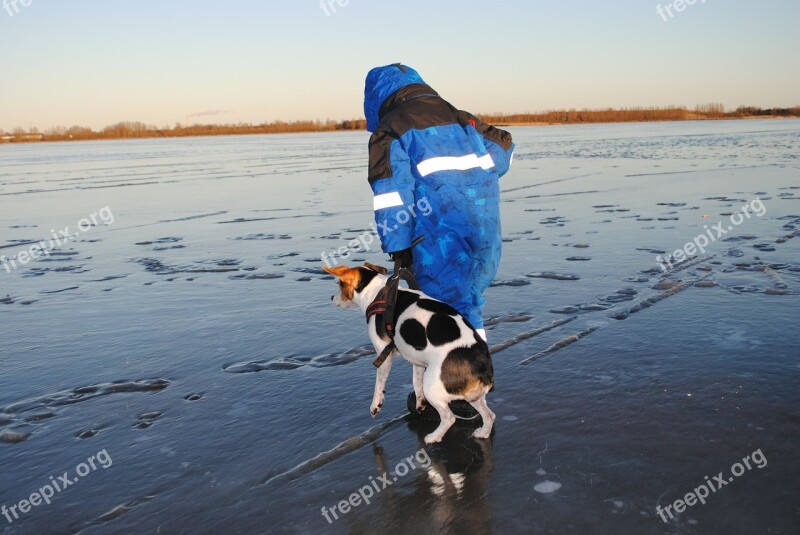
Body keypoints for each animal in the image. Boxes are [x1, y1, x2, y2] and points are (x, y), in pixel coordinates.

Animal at [324, 264, 494, 444]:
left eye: (340, 284)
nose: (331, 297)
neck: (378, 291)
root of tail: (482, 365)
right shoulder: (417, 358)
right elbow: (415, 381)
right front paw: (419, 403)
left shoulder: (384, 354)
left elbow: (379, 384)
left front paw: (375, 405)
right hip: (472, 396)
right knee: (490, 415)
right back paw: (483, 432)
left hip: (433, 387)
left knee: (449, 418)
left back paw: (433, 437)